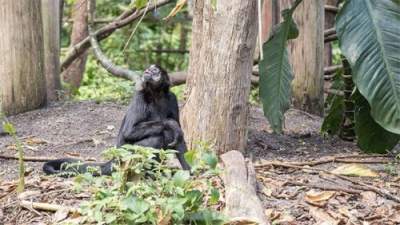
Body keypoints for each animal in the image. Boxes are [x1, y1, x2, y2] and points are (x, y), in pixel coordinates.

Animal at [43, 64, 190, 177]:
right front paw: (171, 124)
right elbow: (130, 132)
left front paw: (189, 171)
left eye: (154, 71)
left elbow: (180, 137)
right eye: (147, 69)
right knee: (158, 136)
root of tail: (115, 159)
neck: (156, 95)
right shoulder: (140, 96)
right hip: (127, 157)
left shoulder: (172, 98)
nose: (147, 72)